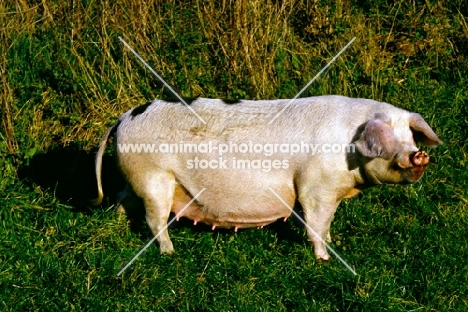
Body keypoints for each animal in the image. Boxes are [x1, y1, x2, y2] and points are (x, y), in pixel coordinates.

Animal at [92, 95, 442, 260]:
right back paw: (170, 253)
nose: (419, 154)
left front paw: (335, 242)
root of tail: (125, 117)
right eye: (389, 140)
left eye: (410, 137)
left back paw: (116, 227)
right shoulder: (316, 188)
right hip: (155, 178)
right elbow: (316, 222)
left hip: (137, 179)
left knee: (123, 199)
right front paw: (325, 259)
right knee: (155, 220)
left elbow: (327, 223)